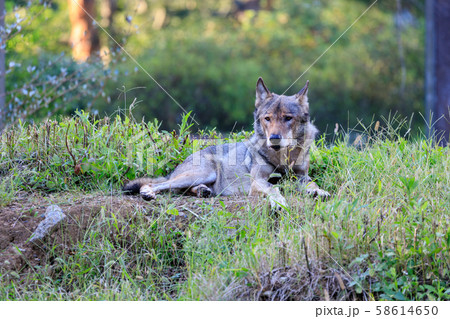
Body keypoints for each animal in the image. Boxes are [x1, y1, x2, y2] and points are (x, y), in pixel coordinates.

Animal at [122, 76, 326, 209]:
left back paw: (203, 191)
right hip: (203, 173)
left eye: (288, 118)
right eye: (267, 118)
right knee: (154, 185)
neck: (283, 159)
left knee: (184, 189)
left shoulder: (301, 176)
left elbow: (312, 183)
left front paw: (319, 192)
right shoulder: (258, 181)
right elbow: (274, 188)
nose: (274, 138)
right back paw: (149, 193)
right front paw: (279, 202)